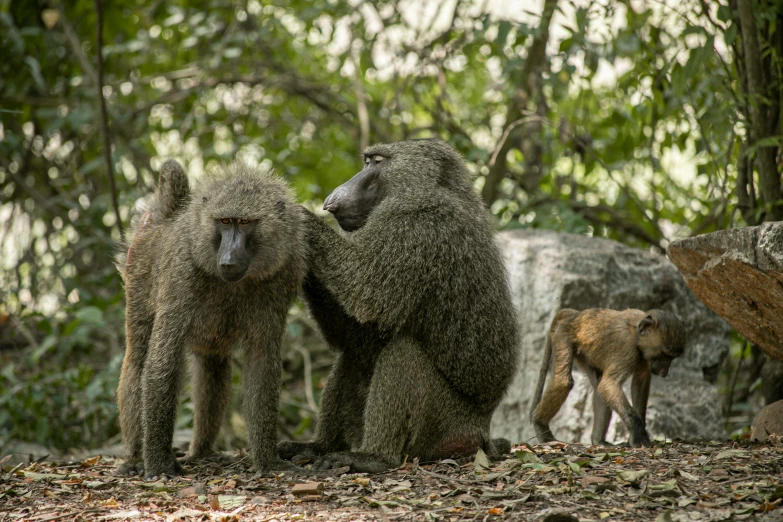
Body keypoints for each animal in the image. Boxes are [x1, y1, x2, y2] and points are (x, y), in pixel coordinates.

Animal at [116, 160, 306, 478]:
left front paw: (267, 460)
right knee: (138, 358)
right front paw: (158, 463)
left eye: (245, 223)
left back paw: (202, 451)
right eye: (224, 221)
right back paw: (134, 457)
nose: (228, 259)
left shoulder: (284, 272)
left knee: (212, 364)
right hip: (137, 267)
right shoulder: (181, 275)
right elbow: (162, 362)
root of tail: (167, 212)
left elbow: (261, 361)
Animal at [532, 306, 688, 444]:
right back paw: (539, 424)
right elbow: (609, 385)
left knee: (597, 387)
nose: (664, 372)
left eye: (672, 357)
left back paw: (598, 441)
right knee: (564, 382)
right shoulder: (627, 349)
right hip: (563, 336)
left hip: (584, 352)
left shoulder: (643, 356)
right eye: (664, 355)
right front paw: (638, 431)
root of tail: (575, 317)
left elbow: (639, 382)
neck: (636, 334)